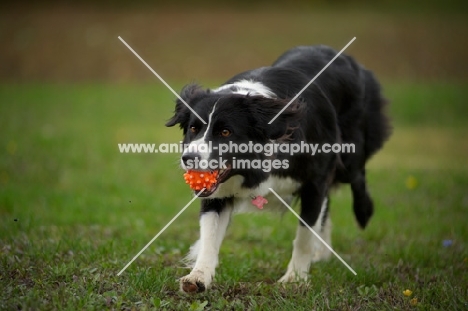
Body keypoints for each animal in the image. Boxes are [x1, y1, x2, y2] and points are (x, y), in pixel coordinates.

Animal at [165, 45, 392, 294]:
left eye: (225, 132)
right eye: (193, 128)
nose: (189, 158)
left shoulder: (315, 181)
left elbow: (304, 233)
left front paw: (295, 279)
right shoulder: (217, 192)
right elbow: (209, 234)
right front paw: (198, 277)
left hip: (351, 149)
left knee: (357, 176)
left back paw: (363, 213)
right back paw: (323, 252)